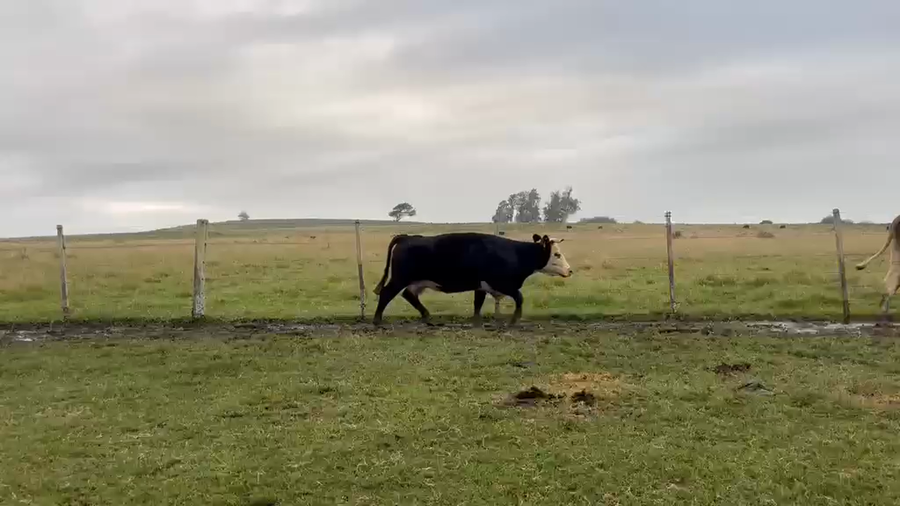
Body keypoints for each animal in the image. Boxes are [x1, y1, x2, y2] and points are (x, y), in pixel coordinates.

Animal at [371, 232, 573, 325]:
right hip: (399, 278)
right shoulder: (502, 283)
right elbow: (519, 297)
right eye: (556, 254)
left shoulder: (481, 286)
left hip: (416, 282)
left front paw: (476, 321)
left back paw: (427, 315)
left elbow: (478, 303)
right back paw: (377, 320)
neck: (514, 253)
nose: (569, 270)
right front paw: (514, 320)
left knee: (408, 294)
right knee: (386, 293)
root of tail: (407, 237)